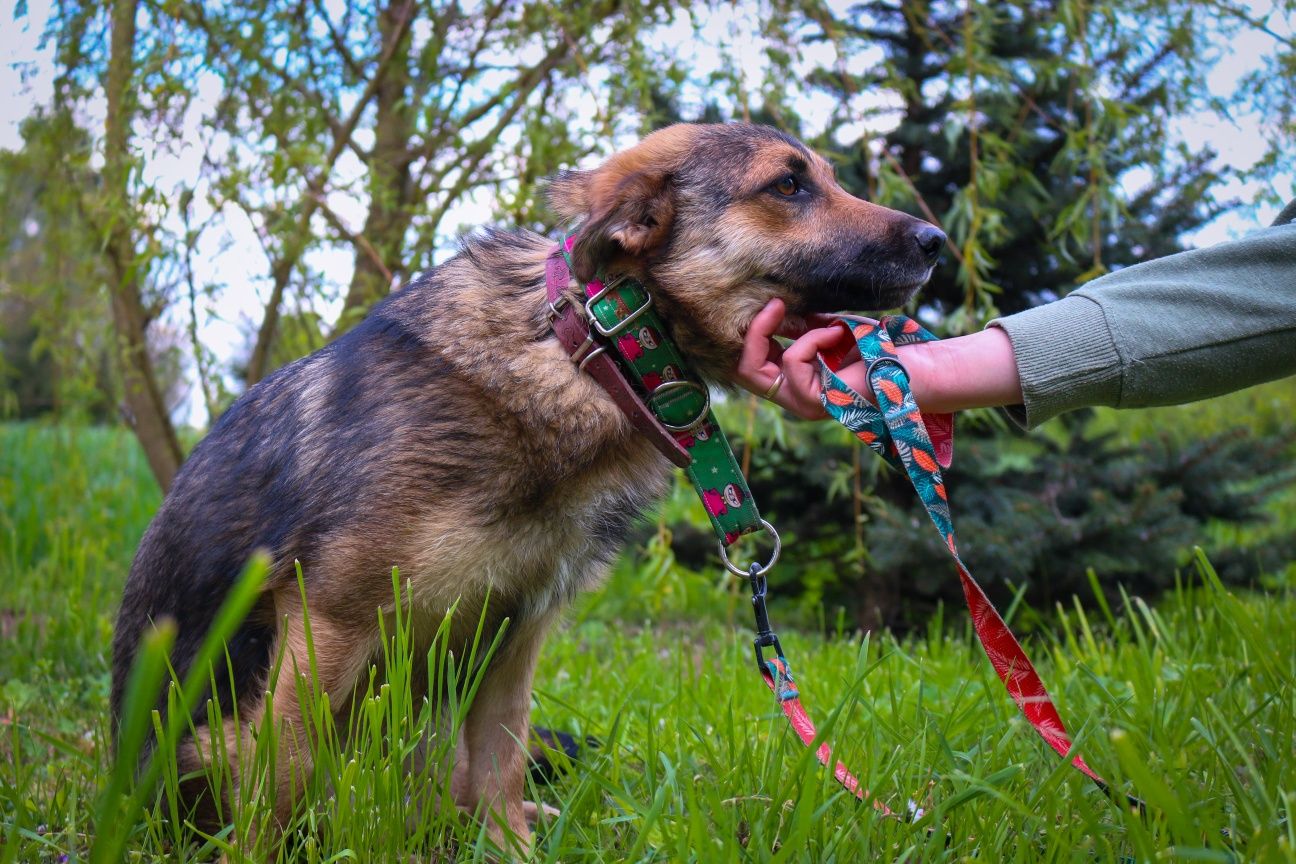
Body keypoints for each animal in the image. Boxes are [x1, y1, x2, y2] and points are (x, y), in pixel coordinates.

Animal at [111, 123, 943, 849]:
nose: (936, 242)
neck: (590, 346)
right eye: (788, 184)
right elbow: (279, 784)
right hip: (214, 734)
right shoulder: (329, 626)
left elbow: (500, 773)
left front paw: (516, 848)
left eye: (826, 177)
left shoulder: (514, 636)